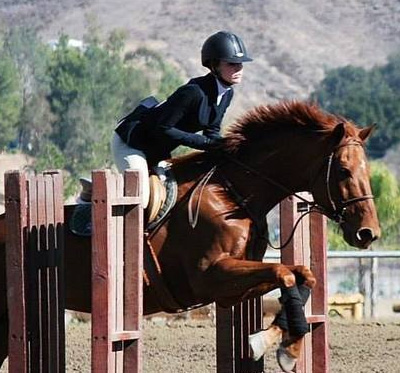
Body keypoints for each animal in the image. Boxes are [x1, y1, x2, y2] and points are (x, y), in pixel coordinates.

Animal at [0, 100, 378, 370]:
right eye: (343, 171)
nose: (368, 233)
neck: (233, 193)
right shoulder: (209, 276)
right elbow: (284, 273)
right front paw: (274, 345)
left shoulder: (229, 288)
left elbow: (302, 276)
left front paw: (282, 344)